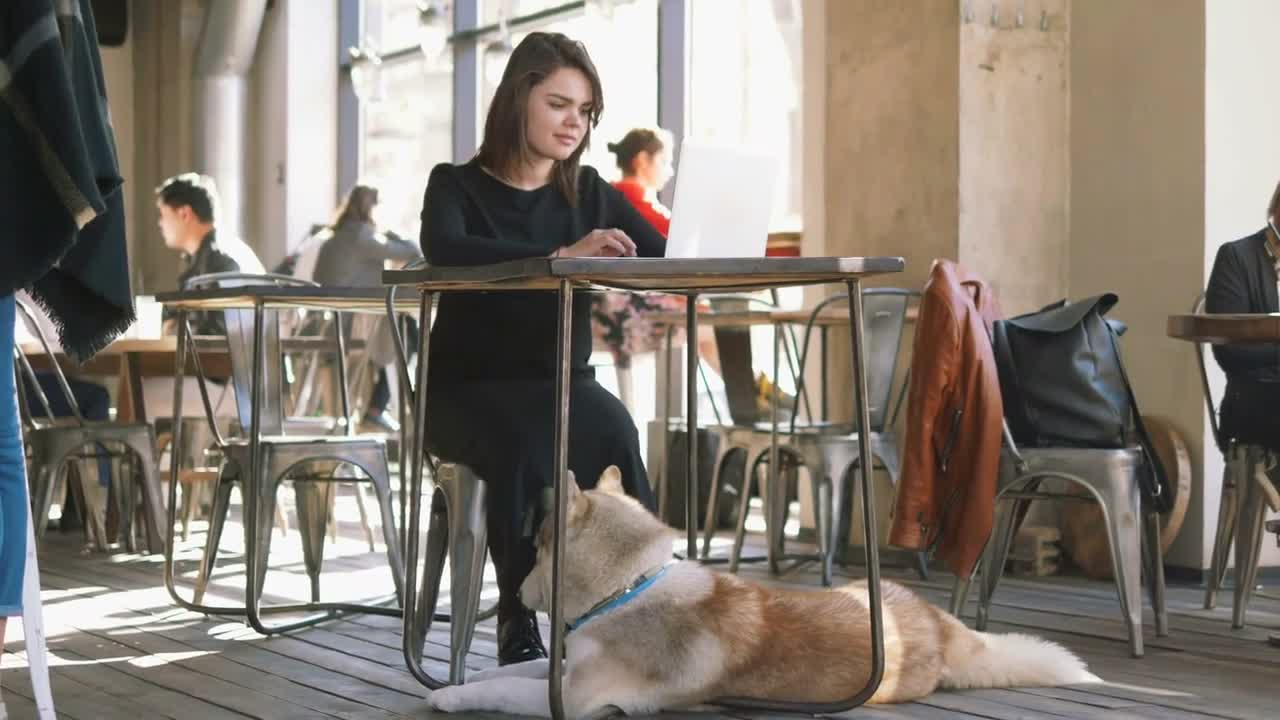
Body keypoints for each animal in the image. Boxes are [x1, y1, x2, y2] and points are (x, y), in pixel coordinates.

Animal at [432, 461, 1100, 712]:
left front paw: (454, 697)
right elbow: (519, 671)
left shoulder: (578, 700)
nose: (518, 590)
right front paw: (469, 678)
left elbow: (511, 691)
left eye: (538, 548)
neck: (629, 586)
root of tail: (937, 622)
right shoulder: (567, 669)